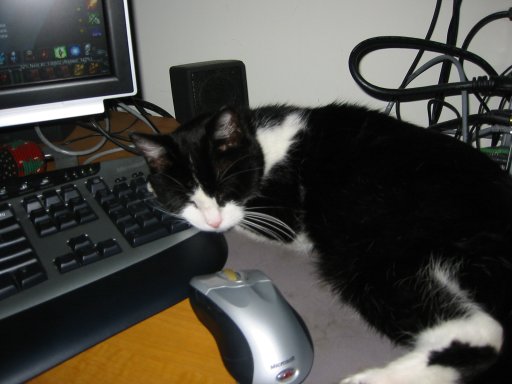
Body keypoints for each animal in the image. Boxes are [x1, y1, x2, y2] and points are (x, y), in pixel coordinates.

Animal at [132, 103, 512, 384]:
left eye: (224, 188)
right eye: (187, 197)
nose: (212, 221)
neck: (261, 142)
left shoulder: (285, 219)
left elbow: (249, 219)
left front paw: (149, 187)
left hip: (376, 251)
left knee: (482, 331)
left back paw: (369, 381)